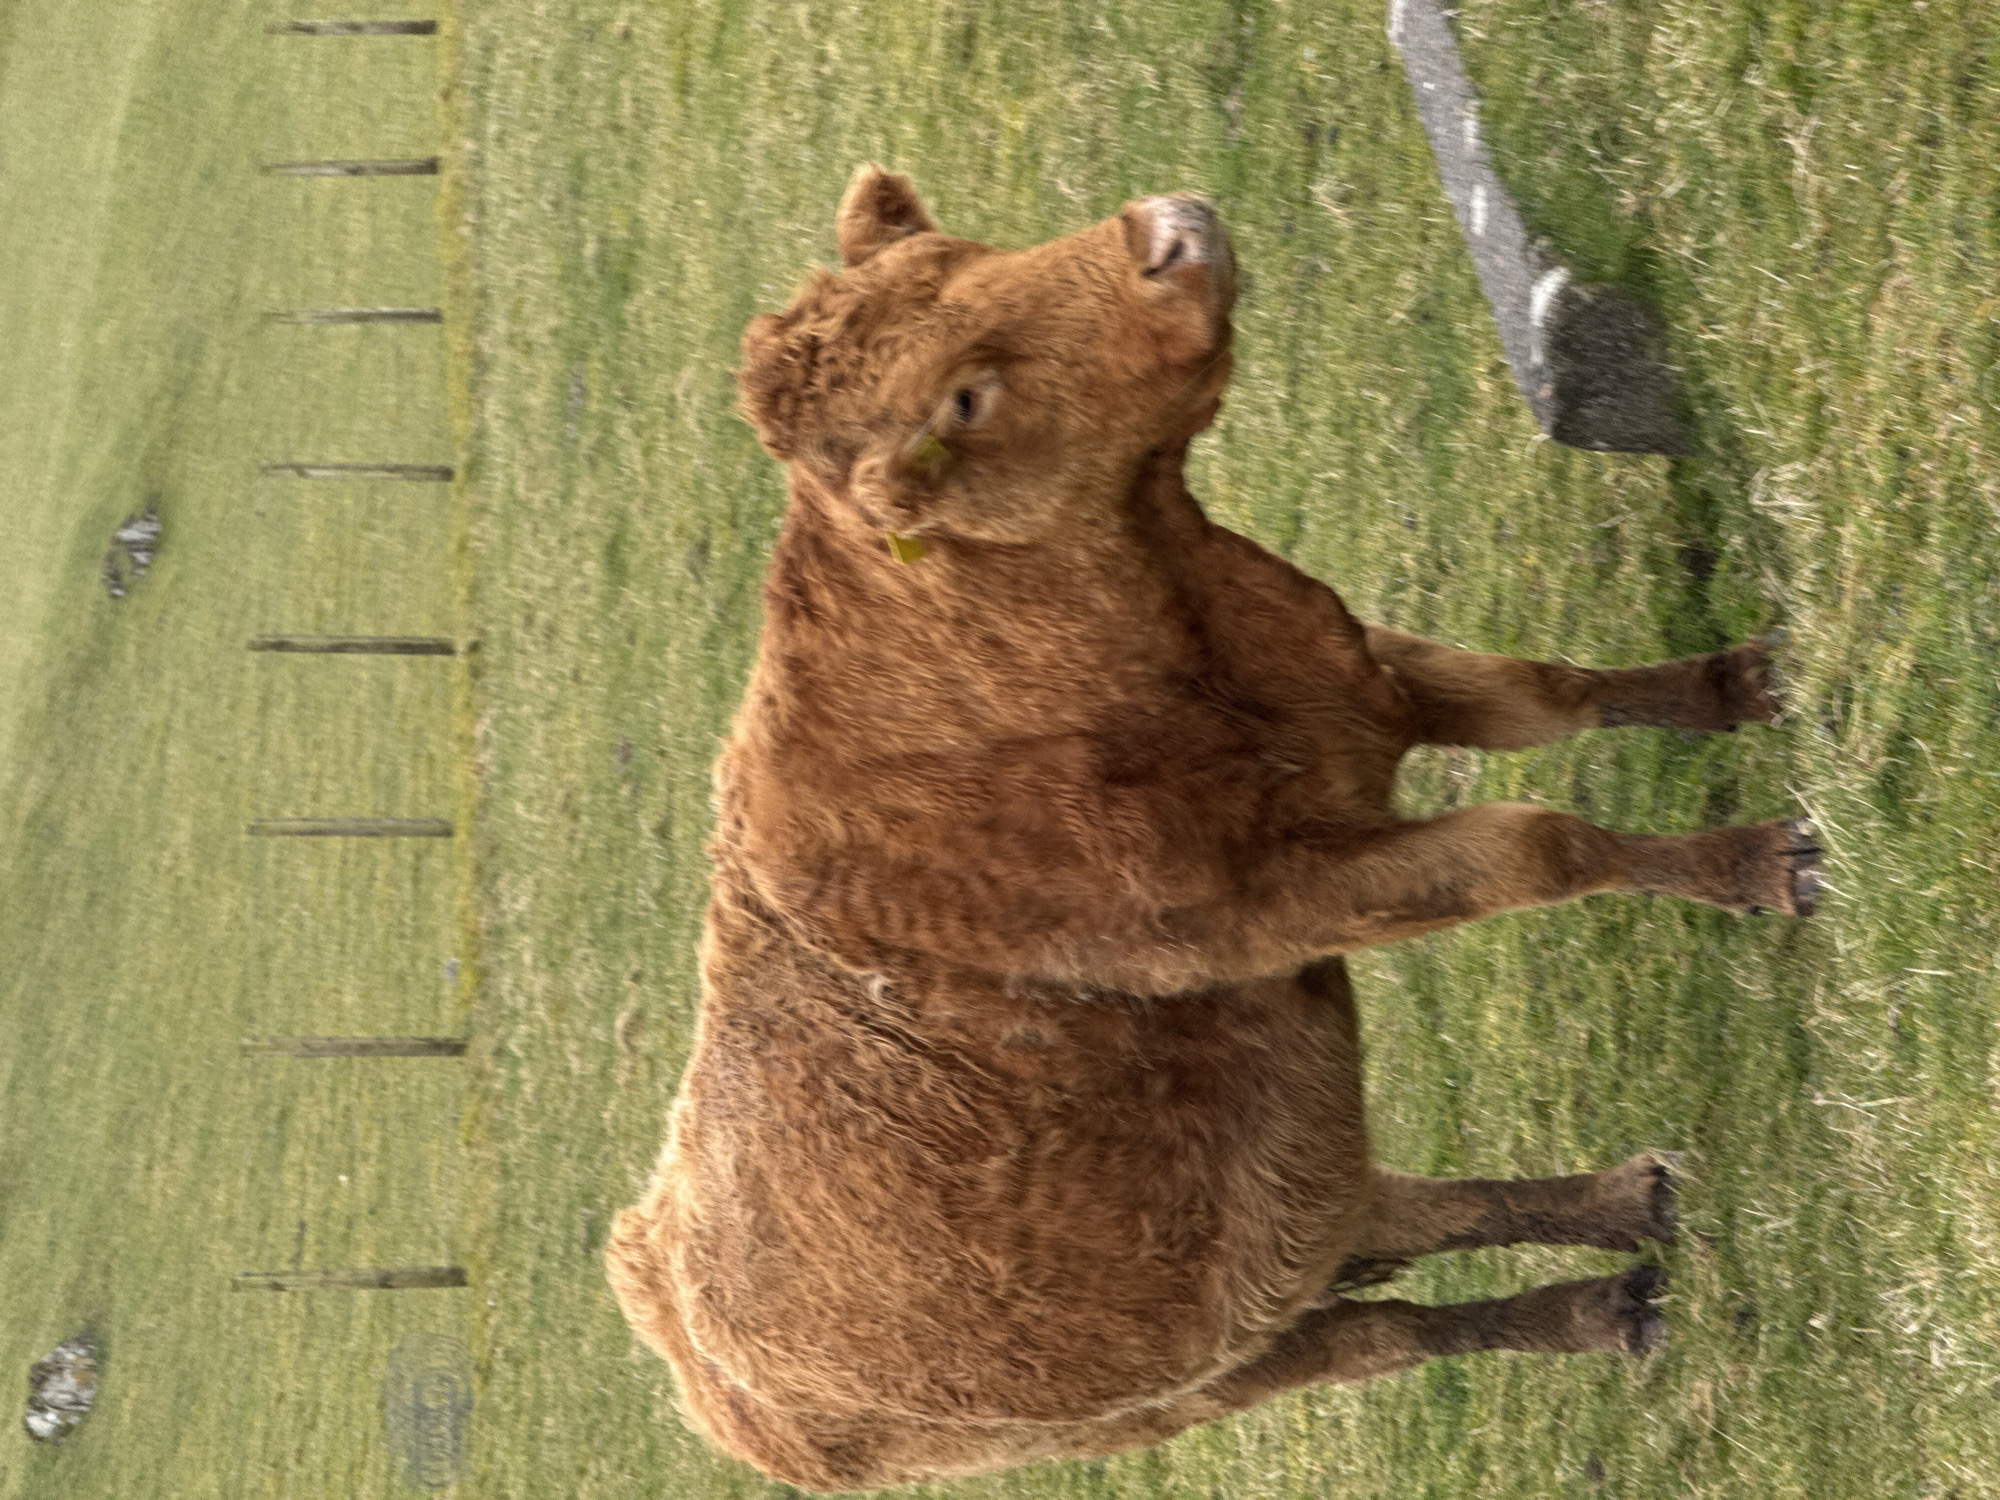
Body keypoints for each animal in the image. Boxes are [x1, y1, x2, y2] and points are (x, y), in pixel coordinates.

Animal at [605, 166, 1820, 1492]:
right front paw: (1758, 862)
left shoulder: (1370, 686)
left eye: (961, 255)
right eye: (963, 399)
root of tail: (686, 1335)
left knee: (1395, 1212)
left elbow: (1544, 693)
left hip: (1281, 1216)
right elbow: (1539, 844)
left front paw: (1737, 682)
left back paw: (1618, 1215)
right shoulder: (1276, 900)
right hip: (1205, 1380)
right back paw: (1590, 1306)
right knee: (1385, 1331)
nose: (1169, 232)